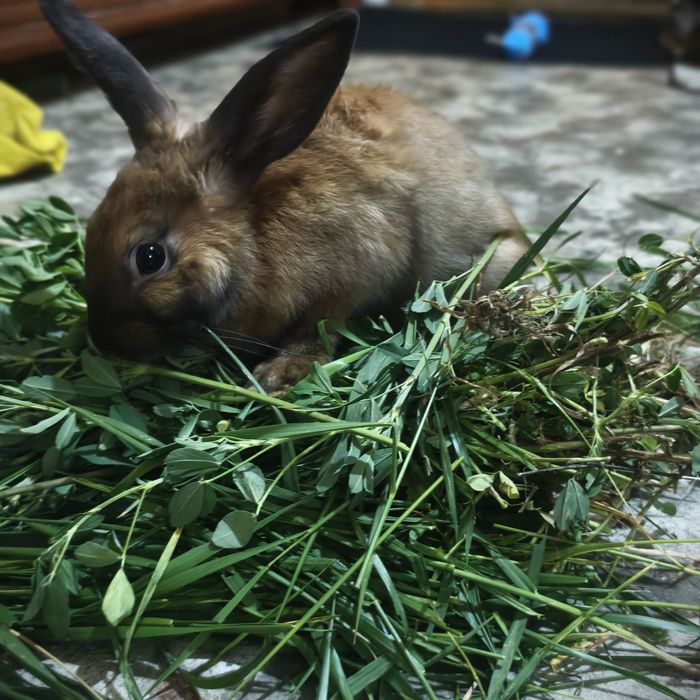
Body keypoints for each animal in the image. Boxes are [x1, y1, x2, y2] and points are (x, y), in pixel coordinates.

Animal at [39, 0, 527, 392]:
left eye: (150, 257)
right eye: (91, 226)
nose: (105, 342)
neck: (254, 236)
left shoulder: (356, 271)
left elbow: (321, 325)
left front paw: (280, 374)